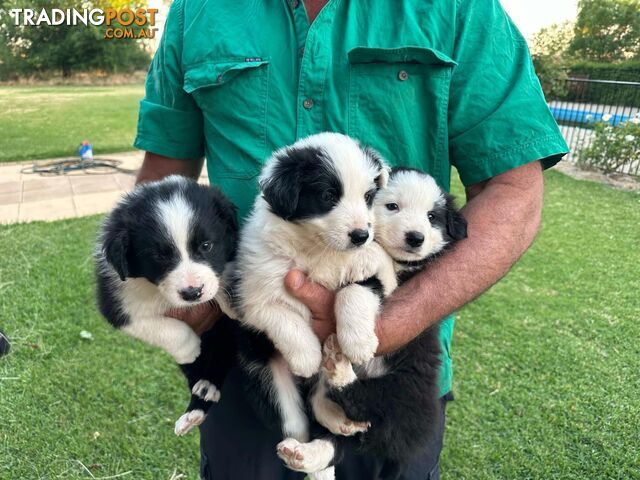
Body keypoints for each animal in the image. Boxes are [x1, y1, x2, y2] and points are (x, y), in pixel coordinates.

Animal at [94, 175, 236, 436]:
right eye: (159, 256)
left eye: (206, 245)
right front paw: (189, 347)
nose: (192, 293)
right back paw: (197, 403)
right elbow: (165, 328)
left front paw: (229, 296)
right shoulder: (118, 305)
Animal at [278, 168, 468, 476]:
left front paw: (357, 341)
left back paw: (339, 372)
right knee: (339, 437)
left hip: (409, 387)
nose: (415, 238)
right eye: (392, 206)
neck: (400, 264)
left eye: (432, 216)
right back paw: (306, 449)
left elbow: (354, 291)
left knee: (365, 401)